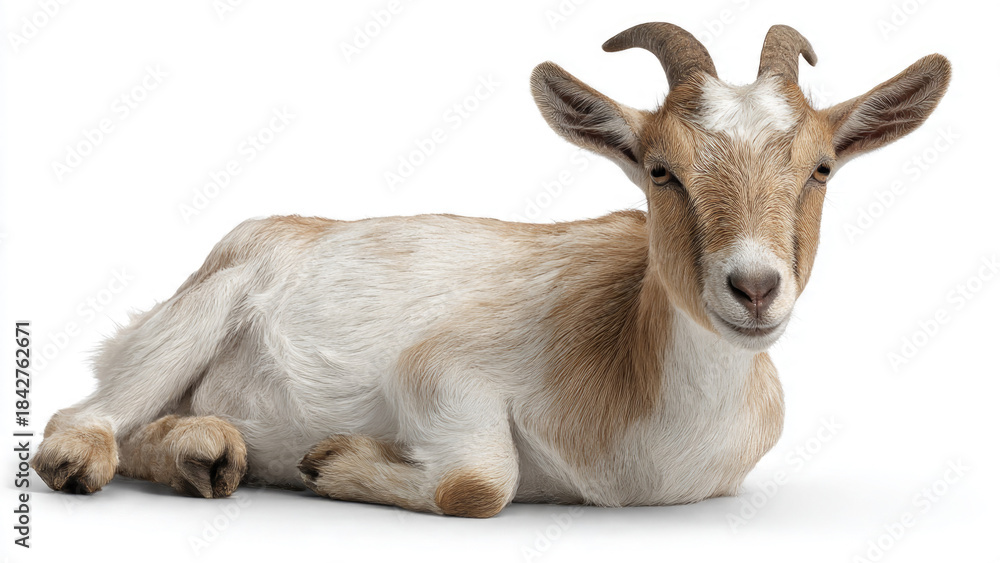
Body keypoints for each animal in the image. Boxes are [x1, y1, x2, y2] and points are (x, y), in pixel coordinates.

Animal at [32, 23, 950, 517]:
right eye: (661, 170)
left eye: (821, 168)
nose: (754, 287)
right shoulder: (438, 370)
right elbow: (480, 481)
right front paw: (332, 464)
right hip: (202, 309)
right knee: (83, 414)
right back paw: (87, 461)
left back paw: (206, 451)